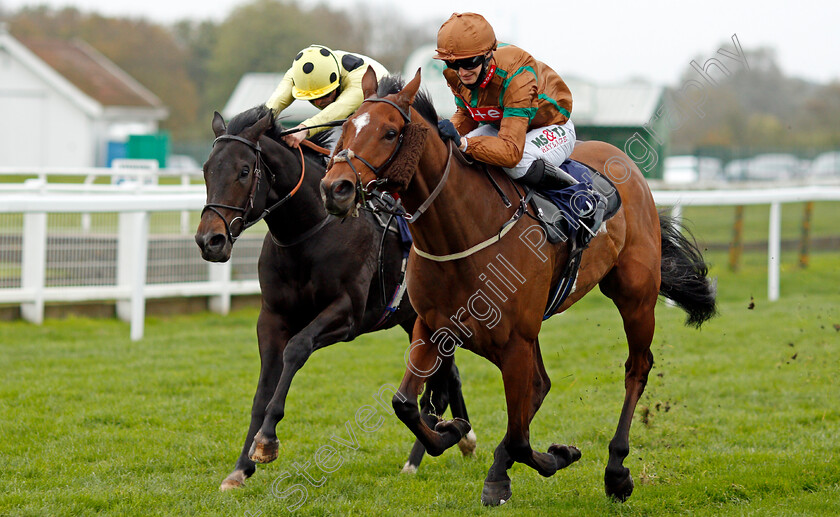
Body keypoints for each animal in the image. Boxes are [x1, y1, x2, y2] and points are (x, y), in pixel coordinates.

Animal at [194, 106, 476, 492]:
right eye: (206, 169)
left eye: (244, 170)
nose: (210, 241)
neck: (307, 233)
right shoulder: (272, 318)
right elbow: (262, 390)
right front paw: (240, 468)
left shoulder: (346, 314)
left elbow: (296, 349)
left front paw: (266, 442)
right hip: (412, 320)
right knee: (450, 378)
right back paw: (459, 439)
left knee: (441, 386)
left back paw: (429, 451)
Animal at [320, 70, 716, 506]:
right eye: (345, 127)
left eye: (390, 132)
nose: (335, 188)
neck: (462, 232)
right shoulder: (433, 324)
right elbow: (405, 403)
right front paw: (454, 431)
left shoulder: (514, 339)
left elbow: (522, 437)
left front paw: (557, 456)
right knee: (540, 386)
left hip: (635, 296)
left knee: (636, 369)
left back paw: (615, 471)